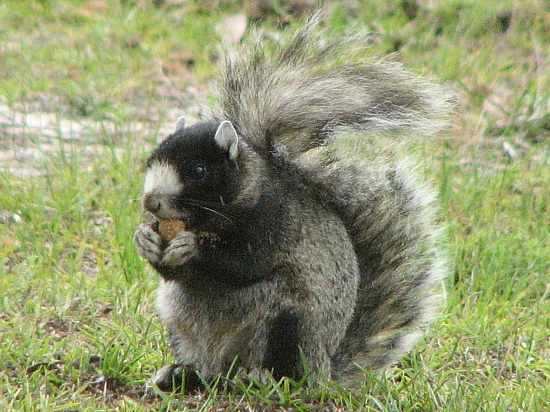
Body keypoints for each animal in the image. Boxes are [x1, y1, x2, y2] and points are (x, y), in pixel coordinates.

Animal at [134, 17, 452, 392]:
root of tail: (324, 370)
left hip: (288, 323)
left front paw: (192, 247)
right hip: (178, 323)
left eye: (198, 171)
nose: (151, 201)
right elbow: (177, 273)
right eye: (153, 156)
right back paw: (181, 373)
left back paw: (259, 377)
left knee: (282, 369)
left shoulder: (277, 222)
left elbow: (244, 264)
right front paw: (146, 240)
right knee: (204, 370)